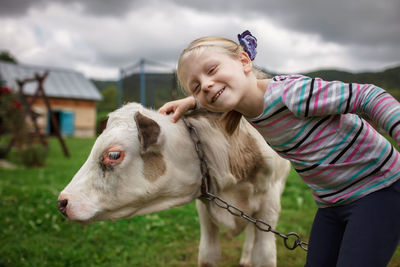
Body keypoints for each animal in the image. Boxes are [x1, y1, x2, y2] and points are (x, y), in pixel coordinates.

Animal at [57, 103, 290, 267]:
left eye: (113, 154)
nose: (62, 201)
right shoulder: (205, 208)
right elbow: (208, 255)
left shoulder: (269, 203)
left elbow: (265, 256)